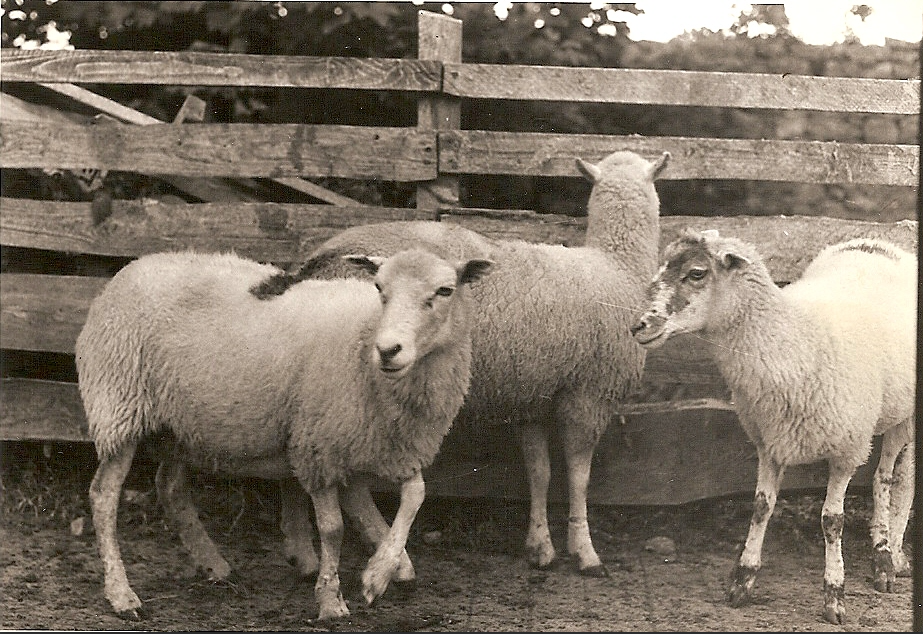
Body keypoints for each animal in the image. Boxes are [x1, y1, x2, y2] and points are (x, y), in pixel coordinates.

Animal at [74, 248, 493, 621]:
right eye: (379, 288)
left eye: (445, 290)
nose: (389, 350)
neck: (363, 340)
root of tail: (130, 268)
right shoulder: (319, 446)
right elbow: (334, 528)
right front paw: (331, 601)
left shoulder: (380, 443)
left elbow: (414, 496)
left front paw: (380, 573)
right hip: (119, 406)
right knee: (104, 497)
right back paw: (122, 595)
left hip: (179, 423)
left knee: (170, 486)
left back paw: (214, 565)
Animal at [250, 149, 671, 576]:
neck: (616, 264)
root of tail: (315, 263)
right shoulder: (591, 394)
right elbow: (578, 476)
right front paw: (585, 551)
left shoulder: (531, 397)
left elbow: (539, 471)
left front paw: (540, 546)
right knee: (352, 484)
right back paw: (390, 558)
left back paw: (303, 551)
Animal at [630, 230, 916, 625]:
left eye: (697, 273)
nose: (638, 326)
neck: (793, 340)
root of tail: (876, 242)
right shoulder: (769, 441)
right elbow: (761, 506)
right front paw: (743, 580)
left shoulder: (847, 448)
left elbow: (832, 520)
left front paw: (834, 594)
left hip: (904, 413)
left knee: (891, 478)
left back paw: (887, 556)